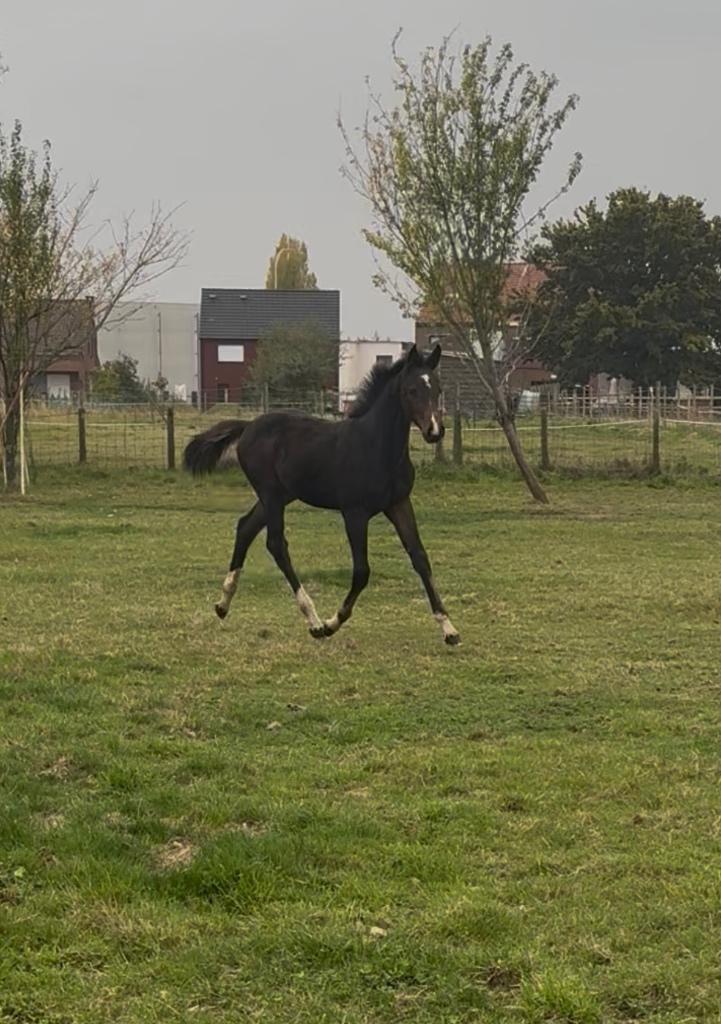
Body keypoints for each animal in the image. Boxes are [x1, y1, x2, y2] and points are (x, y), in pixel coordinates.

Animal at [183, 343, 460, 646]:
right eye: (411, 390)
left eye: (438, 389)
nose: (434, 431)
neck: (377, 446)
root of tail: (247, 427)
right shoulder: (354, 512)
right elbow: (362, 571)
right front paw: (332, 623)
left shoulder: (399, 503)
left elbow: (420, 558)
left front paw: (449, 628)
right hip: (270, 493)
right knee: (276, 544)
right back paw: (313, 620)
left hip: (280, 495)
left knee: (246, 527)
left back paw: (223, 604)